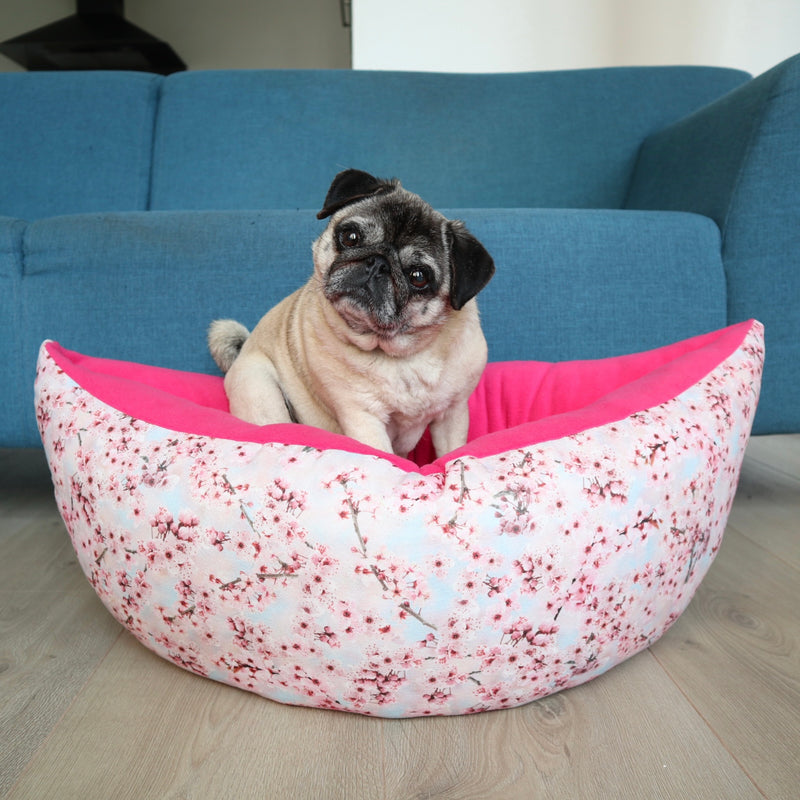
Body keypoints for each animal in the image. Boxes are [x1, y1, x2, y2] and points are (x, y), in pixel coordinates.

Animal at [206, 169, 494, 456]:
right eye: (350, 237)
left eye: (418, 277)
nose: (378, 263)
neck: (403, 354)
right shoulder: (363, 417)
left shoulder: (453, 414)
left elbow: (452, 451)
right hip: (259, 387)